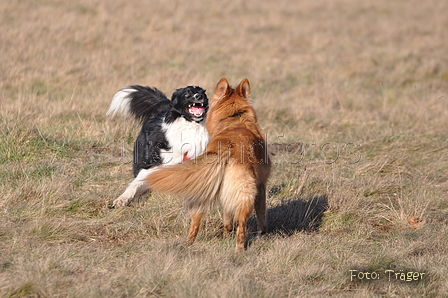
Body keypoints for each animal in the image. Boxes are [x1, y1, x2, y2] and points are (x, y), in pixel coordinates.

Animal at [114, 78, 272, 251]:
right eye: (187, 94)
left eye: (202, 92)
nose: (199, 96)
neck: (235, 119)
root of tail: (226, 148)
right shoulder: (260, 185)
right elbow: (261, 212)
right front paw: (262, 233)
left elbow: (227, 214)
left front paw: (226, 231)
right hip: (244, 193)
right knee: (241, 225)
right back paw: (239, 250)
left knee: (195, 221)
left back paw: (189, 242)